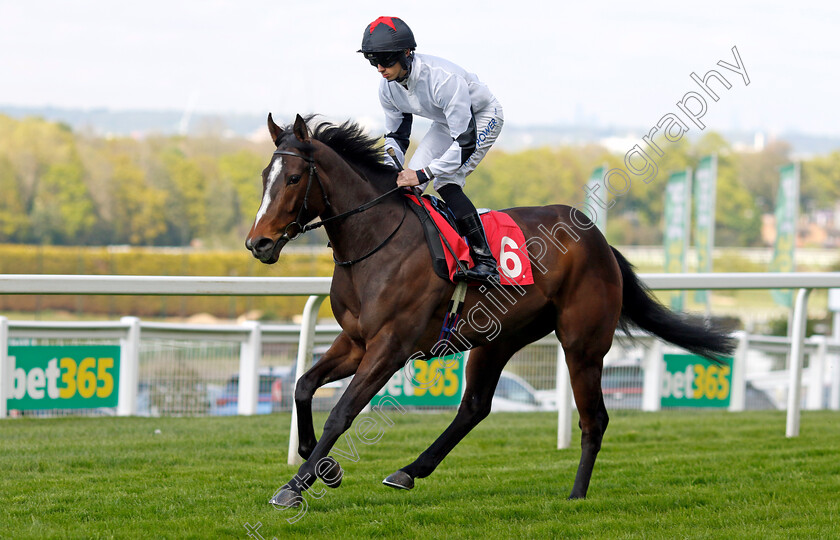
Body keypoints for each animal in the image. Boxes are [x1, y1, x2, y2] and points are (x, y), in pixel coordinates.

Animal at [244, 113, 736, 506]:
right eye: (265, 175)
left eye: (293, 179)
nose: (258, 243)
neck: (377, 241)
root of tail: (599, 239)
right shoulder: (355, 340)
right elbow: (304, 386)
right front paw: (321, 465)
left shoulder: (390, 347)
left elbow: (342, 412)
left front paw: (295, 485)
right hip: (497, 338)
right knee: (475, 407)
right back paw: (409, 471)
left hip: (583, 343)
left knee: (593, 418)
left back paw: (577, 494)